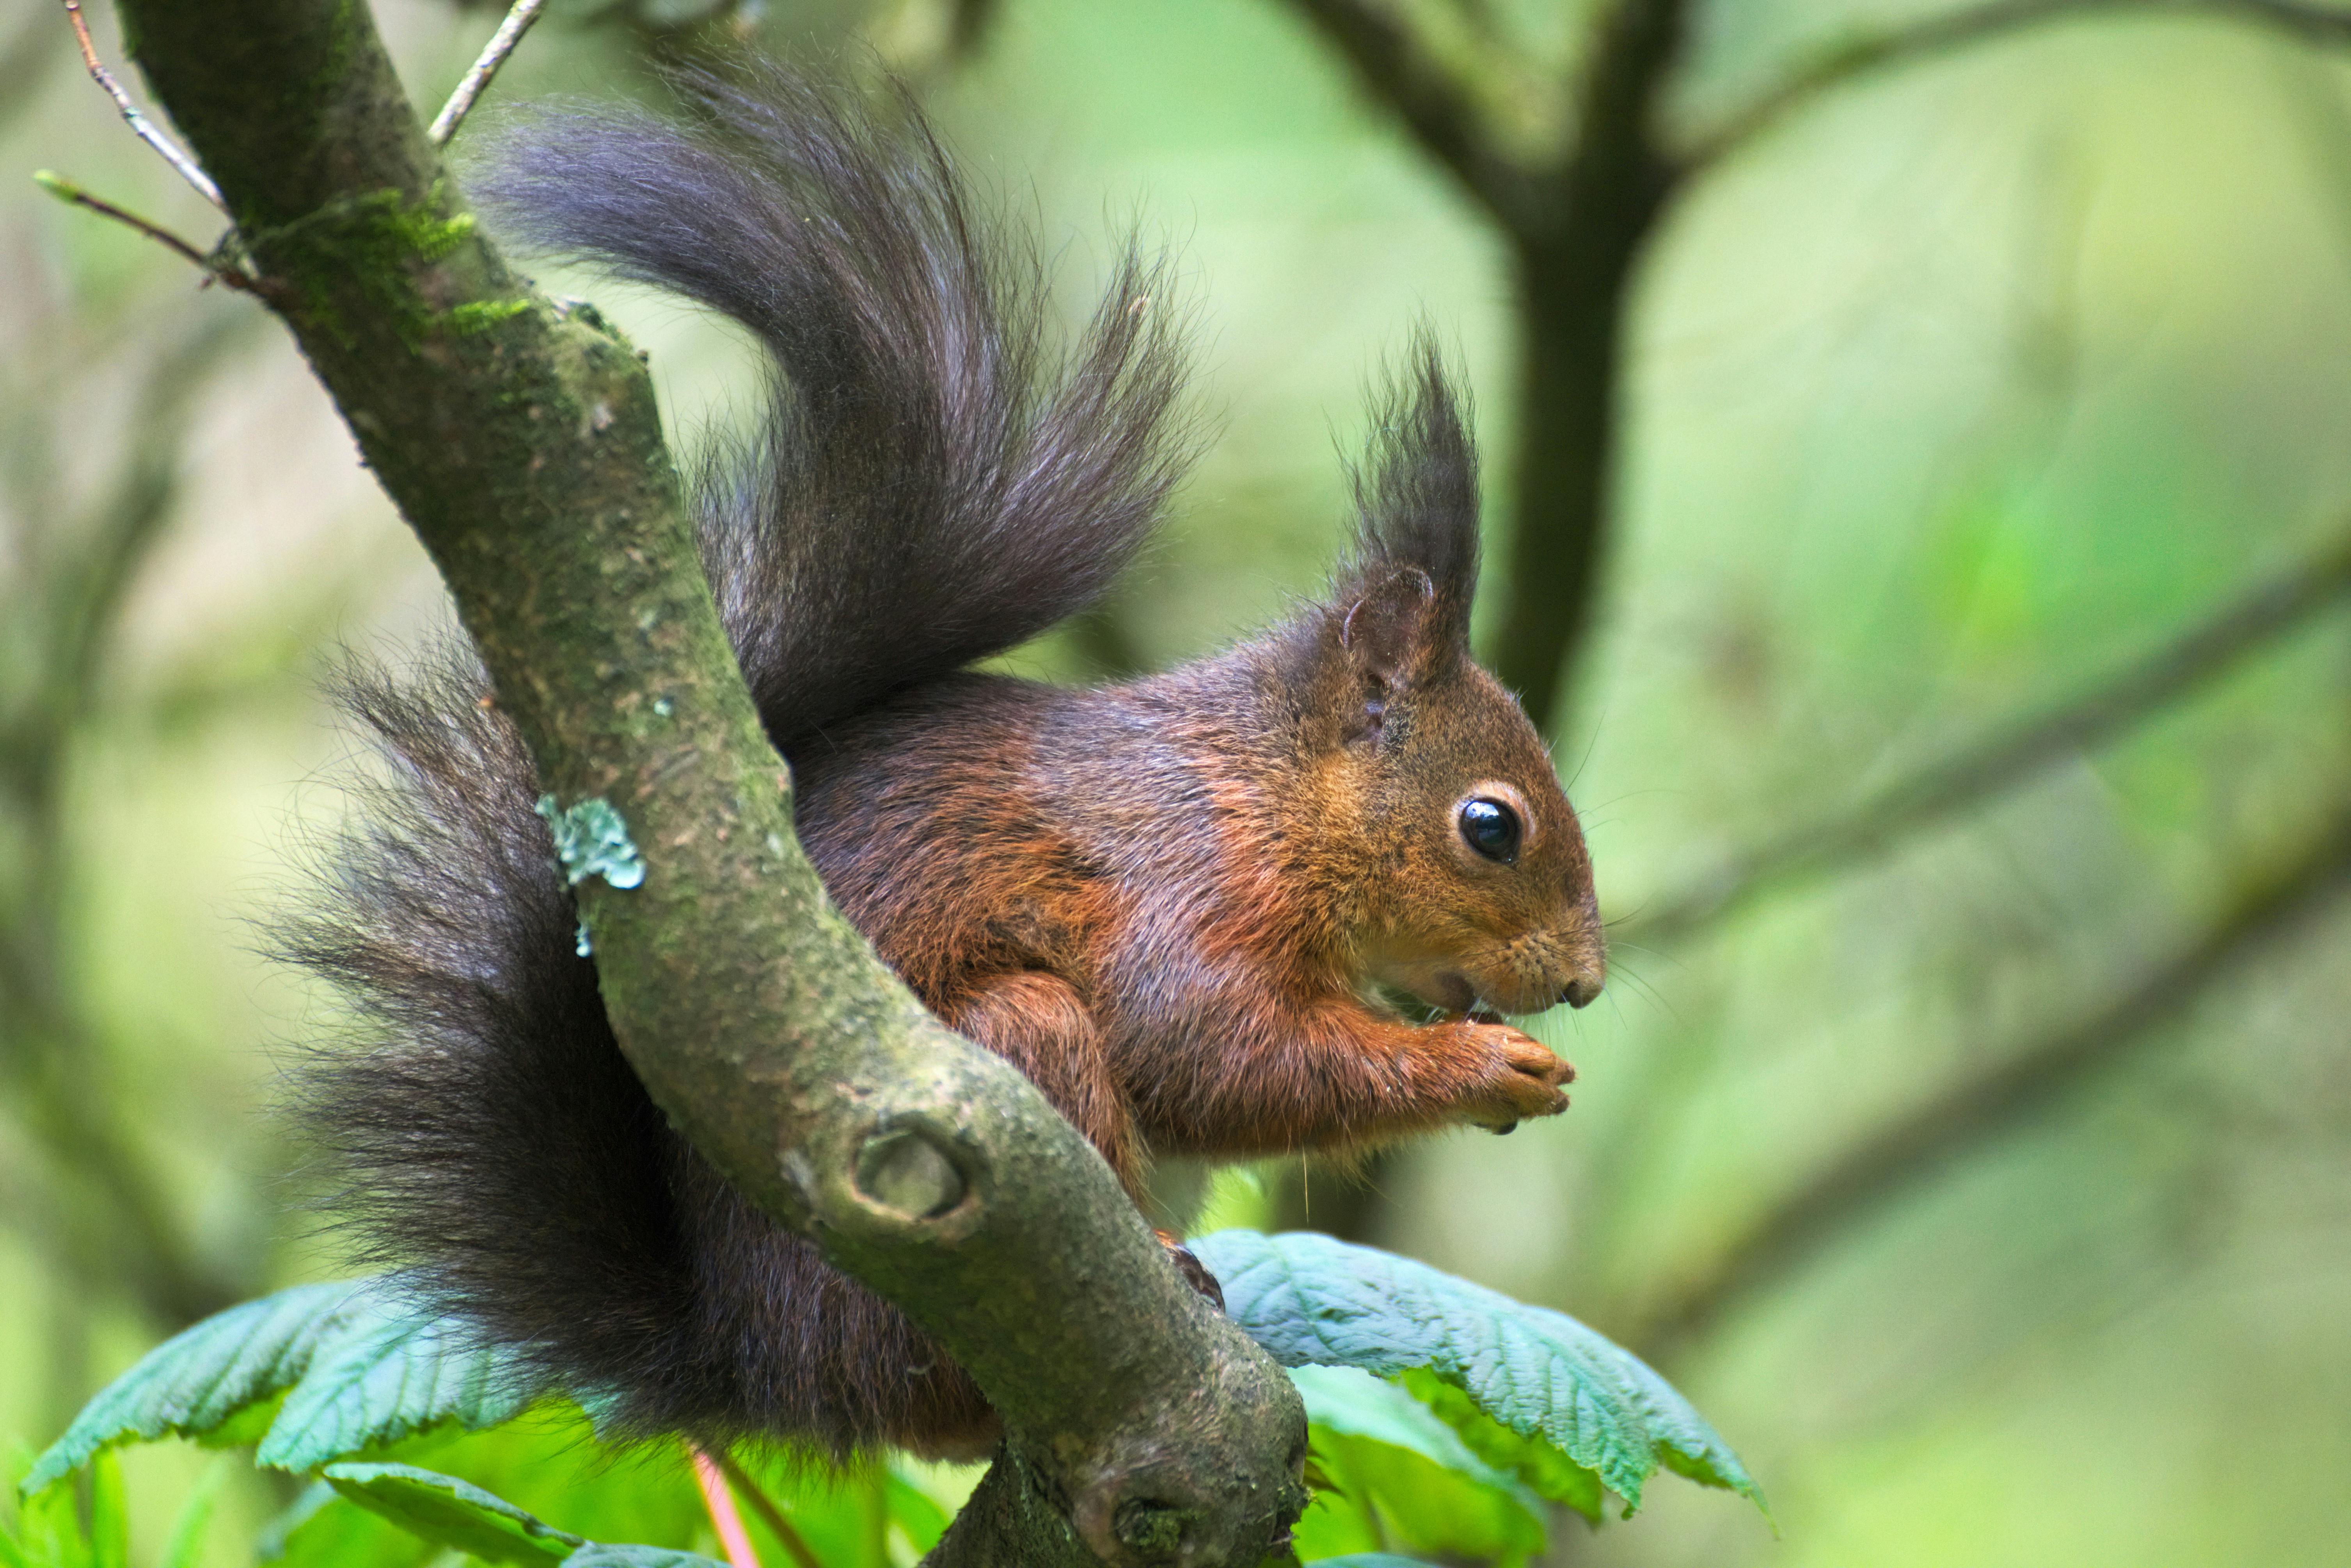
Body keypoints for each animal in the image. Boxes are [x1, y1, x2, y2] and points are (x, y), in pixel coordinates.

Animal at [275, 61, 1598, 1457]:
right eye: (1491, 825)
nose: (1581, 981)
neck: (1265, 791)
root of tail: (770, 1371)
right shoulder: (1181, 886)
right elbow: (1214, 1053)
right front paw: (1485, 1066)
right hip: (1000, 1077)